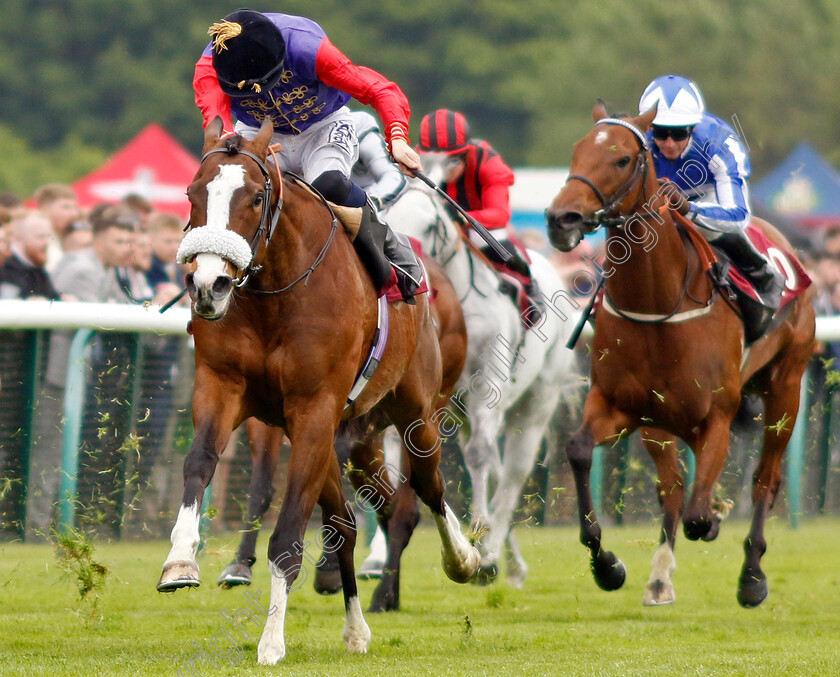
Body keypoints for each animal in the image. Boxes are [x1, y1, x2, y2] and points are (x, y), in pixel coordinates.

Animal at [213, 254, 470, 612]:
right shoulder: (271, 411)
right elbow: (263, 484)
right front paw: (239, 565)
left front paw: (329, 567)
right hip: (370, 437)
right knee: (389, 503)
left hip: (423, 411)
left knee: (408, 502)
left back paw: (384, 592)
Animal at [544, 103, 812, 608]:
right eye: (575, 150)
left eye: (622, 158)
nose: (560, 219)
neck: (657, 302)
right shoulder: (621, 405)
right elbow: (579, 451)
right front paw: (607, 565)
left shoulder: (717, 416)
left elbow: (699, 515)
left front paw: (718, 522)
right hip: (660, 422)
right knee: (673, 488)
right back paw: (660, 578)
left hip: (786, 387)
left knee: (764, 481)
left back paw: (752, 576)